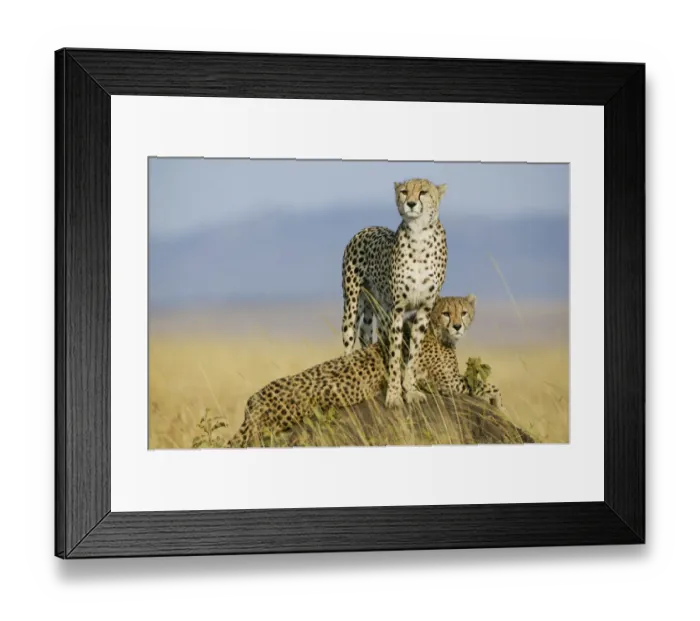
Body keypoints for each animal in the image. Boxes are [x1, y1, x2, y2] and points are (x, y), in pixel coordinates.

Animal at [228, 295, 503, 448]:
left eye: (464, 312)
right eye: (446, 313)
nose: (457, 326)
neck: (433, 330)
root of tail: (254, 400)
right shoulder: (448, 384)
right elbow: (489, 386)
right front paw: (499, 403)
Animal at [341, 178, 448, 409]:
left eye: (423, 192)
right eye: (404, 191)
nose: (410, 204)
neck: (419, 236)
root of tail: (367, 227)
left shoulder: (424, 310)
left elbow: (413, 353)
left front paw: (410, 388)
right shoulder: (396, 310)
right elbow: (395, 352)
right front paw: (393, 394)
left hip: (377, 309)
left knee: (368, 336)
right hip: (353, 305)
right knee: (349, 341)